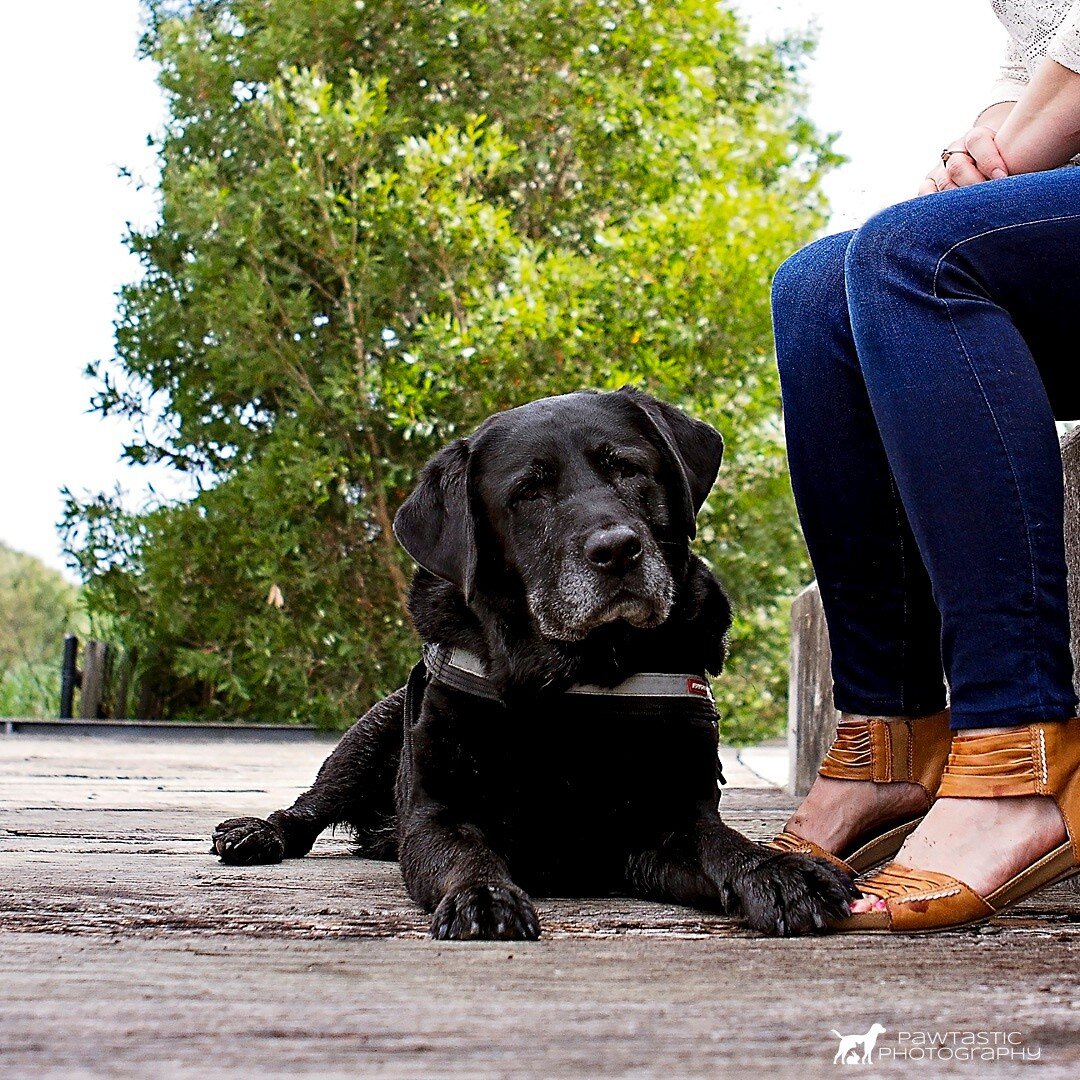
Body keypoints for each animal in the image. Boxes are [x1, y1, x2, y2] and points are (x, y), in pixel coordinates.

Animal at [208, 388, 851, 937]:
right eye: (527, 494)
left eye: (627, 469)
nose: (617, 549)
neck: (582, 674)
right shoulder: (439, 815)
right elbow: (469, 854)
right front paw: (482, 897)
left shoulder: (666, 824)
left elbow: (726, 844)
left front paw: (781, 872)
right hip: (365, 742)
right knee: (309, 807)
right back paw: (257, 832)